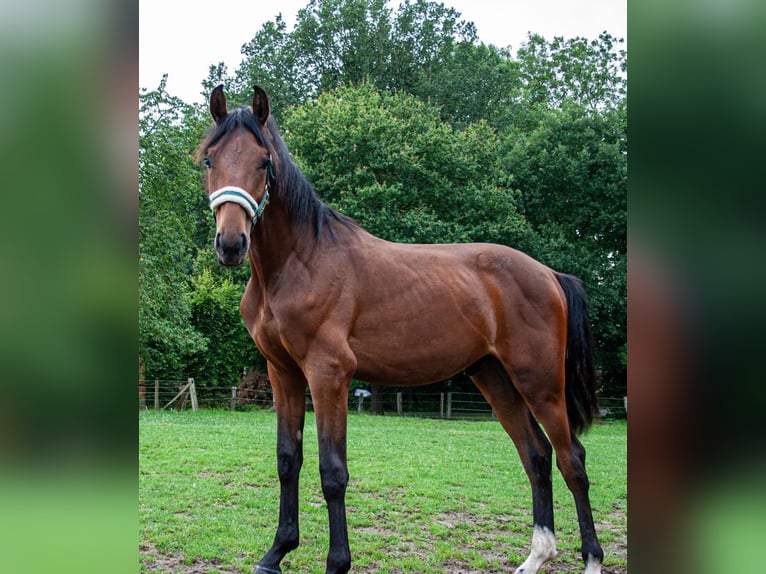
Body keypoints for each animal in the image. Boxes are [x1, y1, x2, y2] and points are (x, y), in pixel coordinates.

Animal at [198, 85, 608, 574]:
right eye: (209, 160)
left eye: (264, 162)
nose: (231, 244)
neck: (300, 260)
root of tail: (549, 275)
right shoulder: (284, 373)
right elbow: (287, 460)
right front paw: (276, 552)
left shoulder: (329, 373)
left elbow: (332, 471)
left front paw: (337, 562)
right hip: (495, 378)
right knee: (537, 456)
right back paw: (535, 557)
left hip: (540, 383)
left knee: (572, 460)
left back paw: (591, 558)